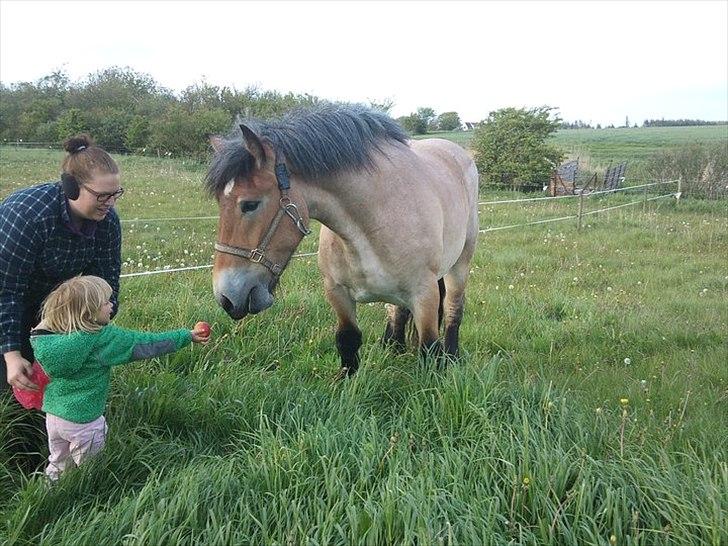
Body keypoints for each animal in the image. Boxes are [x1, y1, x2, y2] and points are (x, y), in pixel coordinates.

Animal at [205, 103, 478, 374]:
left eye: (249, 205)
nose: (226, 298)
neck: (373, 224)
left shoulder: (425, 296)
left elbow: (429, 351)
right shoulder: (337, 292)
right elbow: (348, 340)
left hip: (459, 266)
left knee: (453, 310)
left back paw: (452, 355)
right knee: (397, 311)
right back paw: (393, 348)